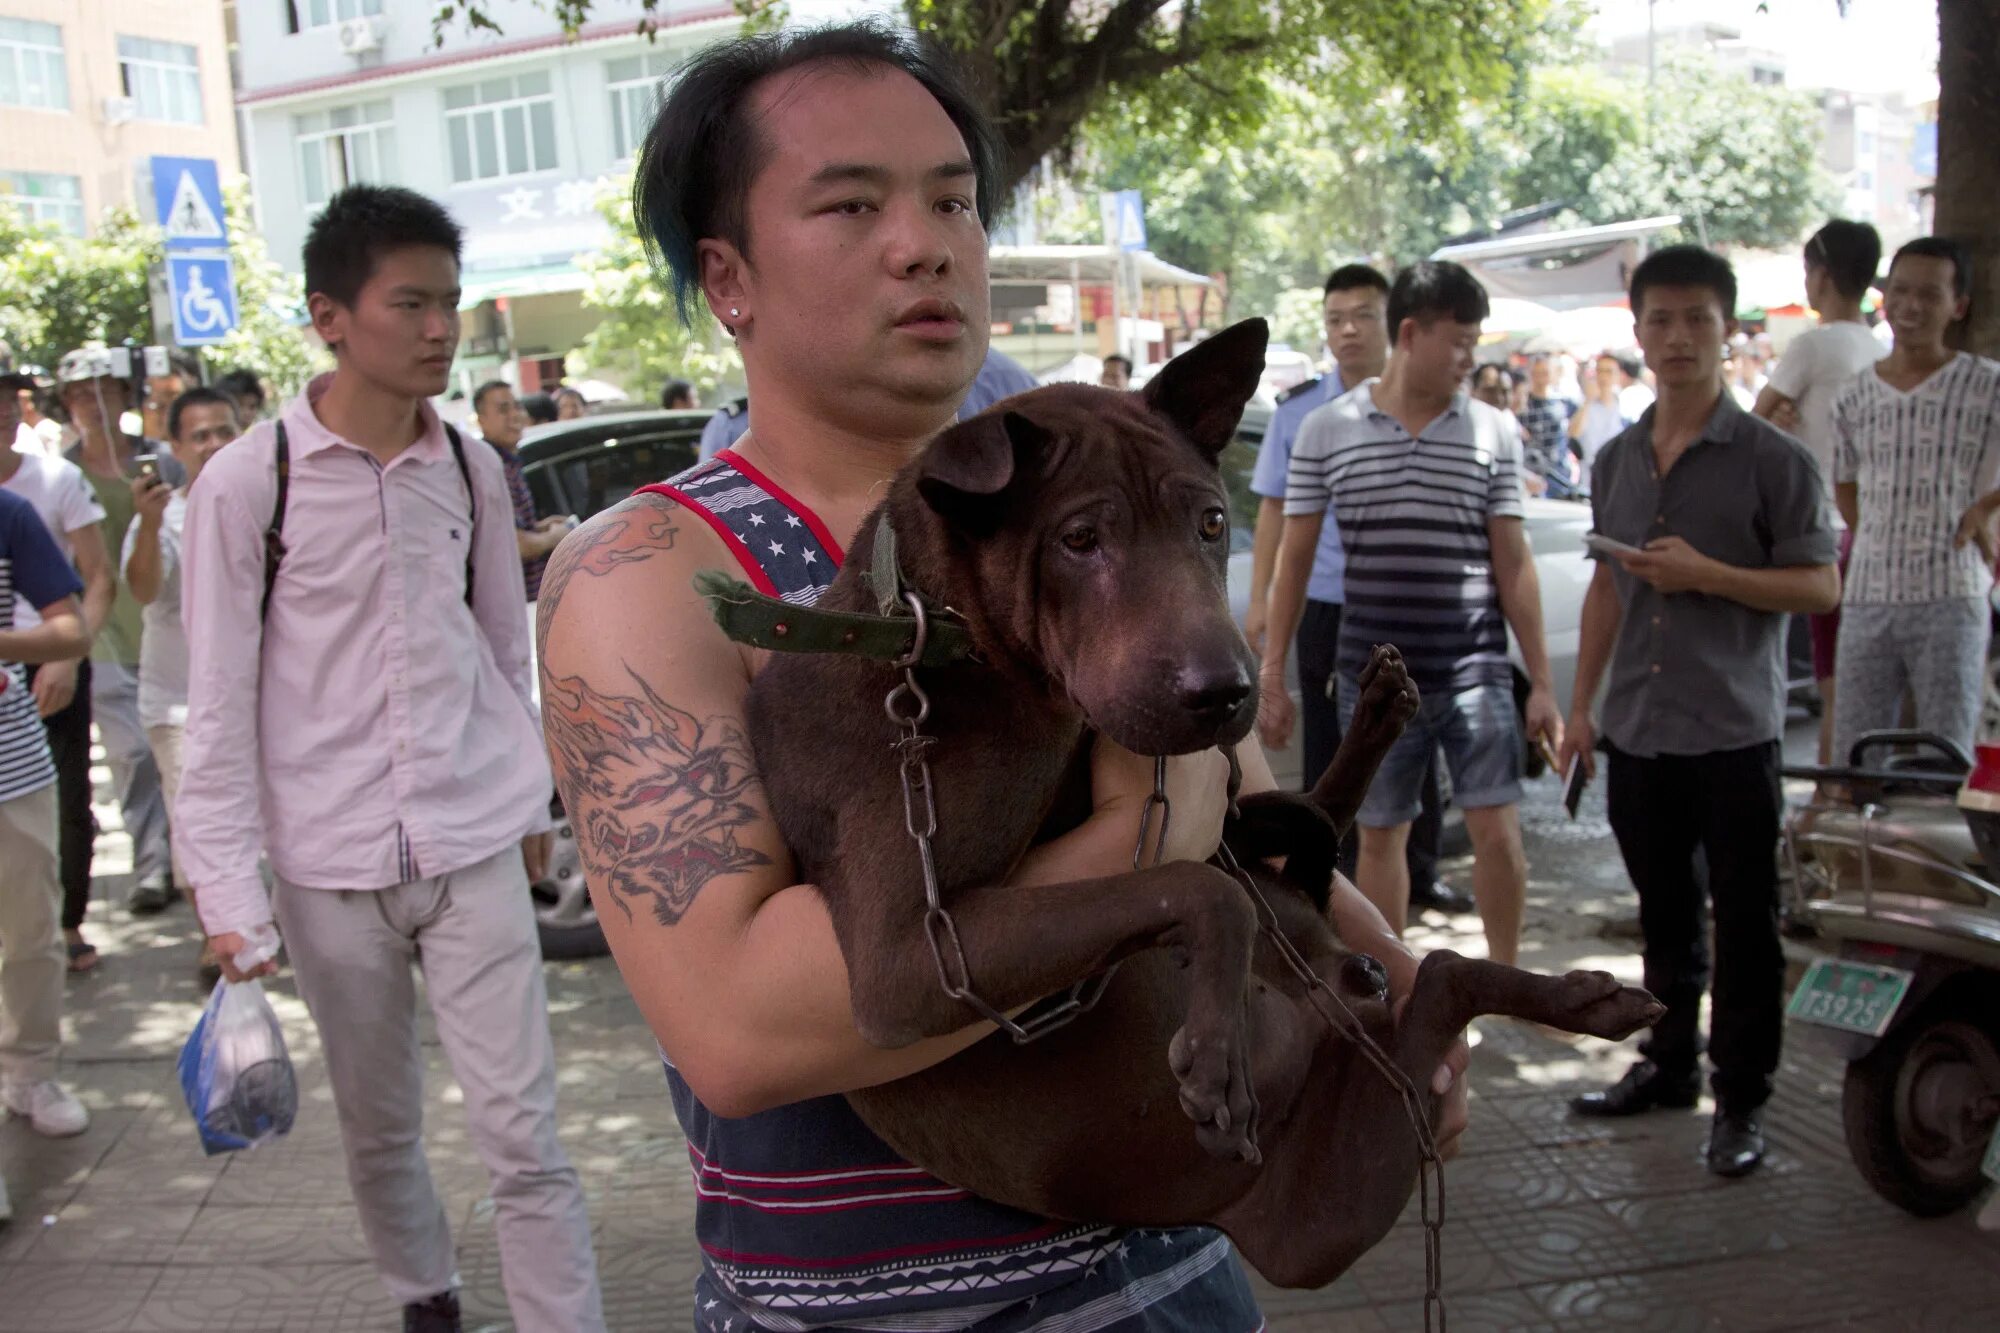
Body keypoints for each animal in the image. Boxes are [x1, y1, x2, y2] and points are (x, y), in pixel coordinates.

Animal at [740, 316, 1656, 1280]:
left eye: (1214, 521)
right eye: (1079, 540)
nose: (1227, 692)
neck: (946, 638)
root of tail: (1348, 1000)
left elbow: (1227, 859)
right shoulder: (910, 959)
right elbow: (1196, 887)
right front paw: (1218, 1051)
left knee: (1393, 918)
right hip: (1325, 1212)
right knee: (1437, 977)